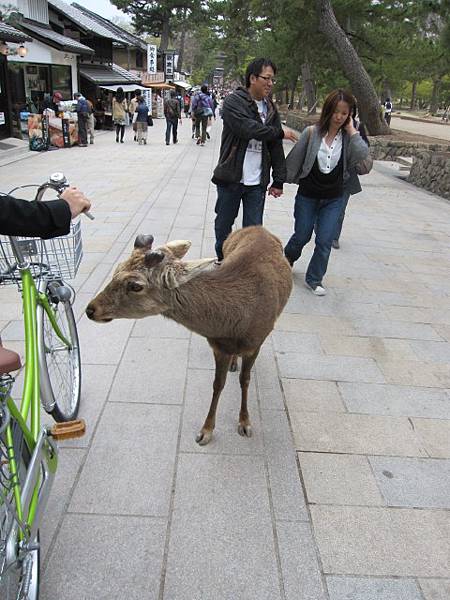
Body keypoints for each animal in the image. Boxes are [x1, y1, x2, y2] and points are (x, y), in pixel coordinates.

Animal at [86, 225, 294, 446]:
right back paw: (233, 363)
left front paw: (244, 423)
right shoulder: (217, 346)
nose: (90, 309)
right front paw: (206, 430)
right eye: (116, 269)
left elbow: (245, 380)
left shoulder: (257, 341)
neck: (233, 326)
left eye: (135, 285)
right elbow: (217, 384)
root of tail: (258, 227)